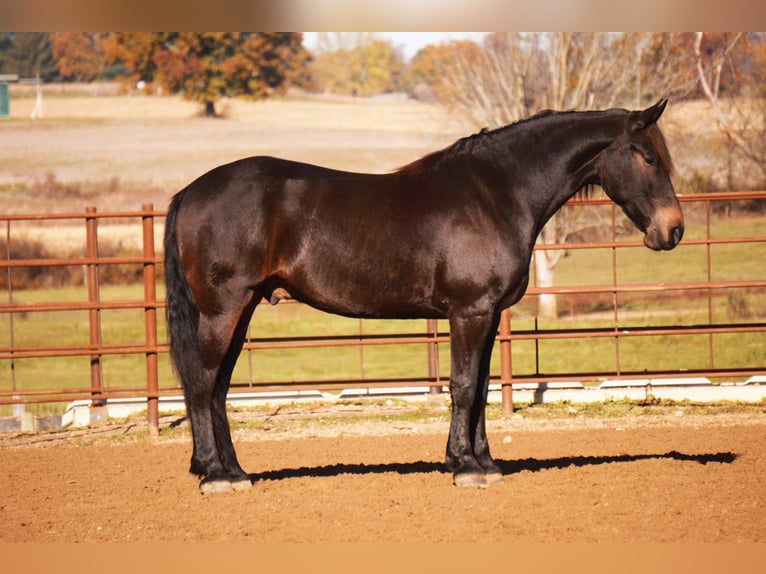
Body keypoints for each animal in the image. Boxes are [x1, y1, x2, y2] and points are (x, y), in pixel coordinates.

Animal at [164, 99, 683, 493]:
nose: (673, 230)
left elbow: (481, 388)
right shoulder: (469, 313)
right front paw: (465, 467)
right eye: (647, 156)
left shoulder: (486, 316)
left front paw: (485, 464)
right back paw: (216, 476)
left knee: (218, 387)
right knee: (203, 383)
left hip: (242, 309)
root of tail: (190, 192)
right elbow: (463, 385)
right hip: (223, 309)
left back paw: (235, 471)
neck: (496, 194)